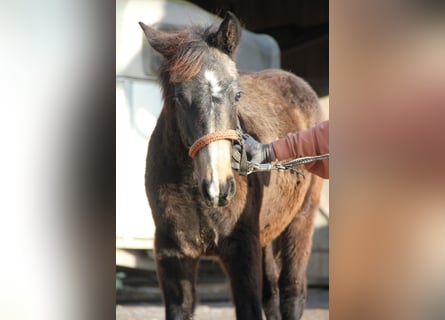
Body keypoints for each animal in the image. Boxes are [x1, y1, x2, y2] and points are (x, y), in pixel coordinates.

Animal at [139, 12, 322, 320]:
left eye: (237, 95)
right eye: (178, 98)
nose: (218, 188)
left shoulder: (241, 251)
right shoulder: (172, 254)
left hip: (301, 220)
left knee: (292, 294)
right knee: (271, 294)